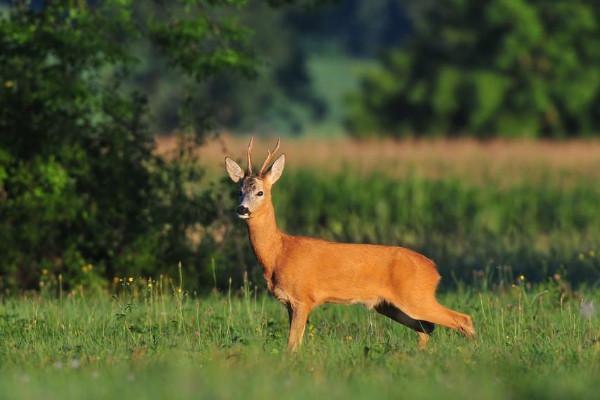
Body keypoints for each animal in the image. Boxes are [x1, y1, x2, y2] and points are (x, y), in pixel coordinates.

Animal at [223, 138, 476, 350]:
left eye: (260, 192)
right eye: (239, 192)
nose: (242, 209)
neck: (279, 252)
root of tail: (433, 268)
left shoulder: (303, 297)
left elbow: (293, 344)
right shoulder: (288, 302)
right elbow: (295, 341)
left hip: (416, 296)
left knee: (463, 319)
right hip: (389, 305)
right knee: (426, 328)